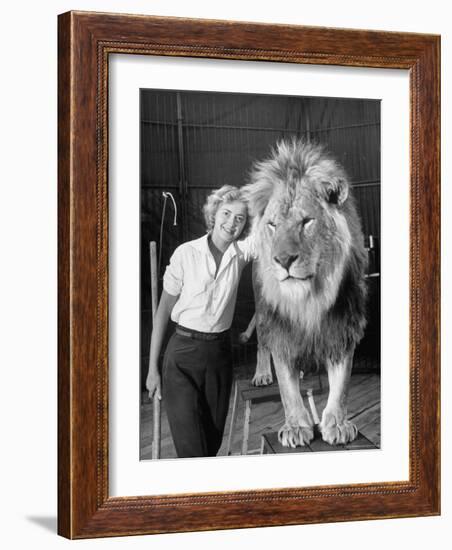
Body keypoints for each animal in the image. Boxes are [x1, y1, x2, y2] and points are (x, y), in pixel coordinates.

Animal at [244, 139, 368, 448]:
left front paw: (337, 424)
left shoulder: (342, 326)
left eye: (306, 222)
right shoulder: (281, 330)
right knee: (262, 344)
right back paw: (262, 374)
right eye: (273, 225)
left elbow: (342, 383)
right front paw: (296, 426)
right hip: (262, 311)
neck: (309, 299)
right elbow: (287, 389)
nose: (283, 260)